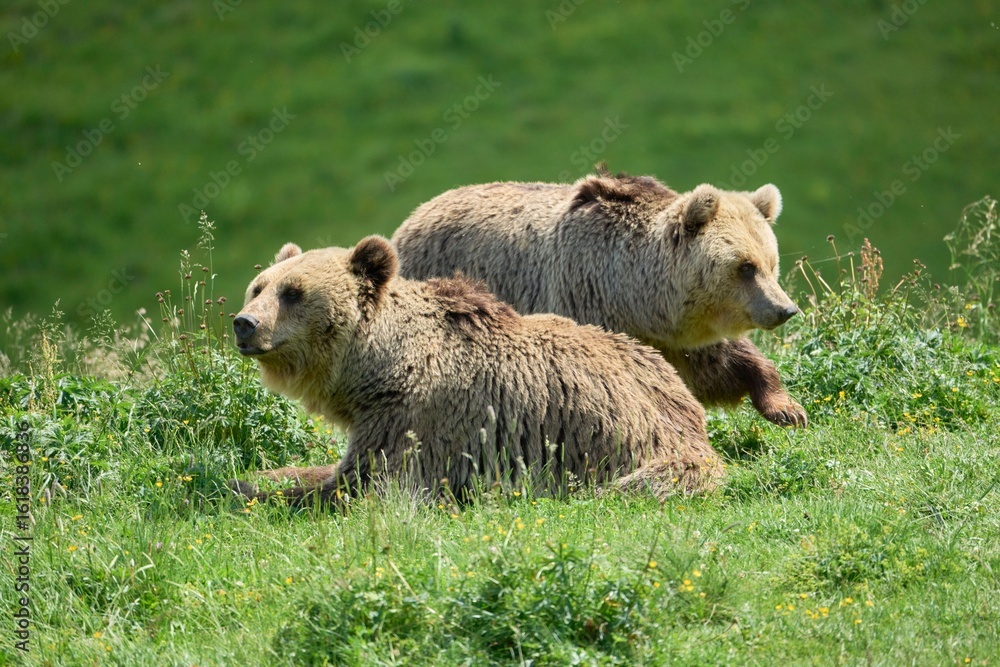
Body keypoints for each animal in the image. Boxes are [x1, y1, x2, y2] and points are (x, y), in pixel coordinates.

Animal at [230, 235, 721, 504]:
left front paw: (244, 492)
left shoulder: (418, 417)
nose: (244, 323)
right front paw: (250, 477)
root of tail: (690, 425)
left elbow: (362, 482)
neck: (378, 366)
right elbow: (324, 470)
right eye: (259, 286)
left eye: (293, 292)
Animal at [391, 167, 807, 427]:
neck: (636, 296)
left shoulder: (672, 338)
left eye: (771, 262)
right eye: (745, 267)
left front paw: (786, 408)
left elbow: (719, 364)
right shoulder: (584, 299)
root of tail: (412, 217)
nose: (785, 309)